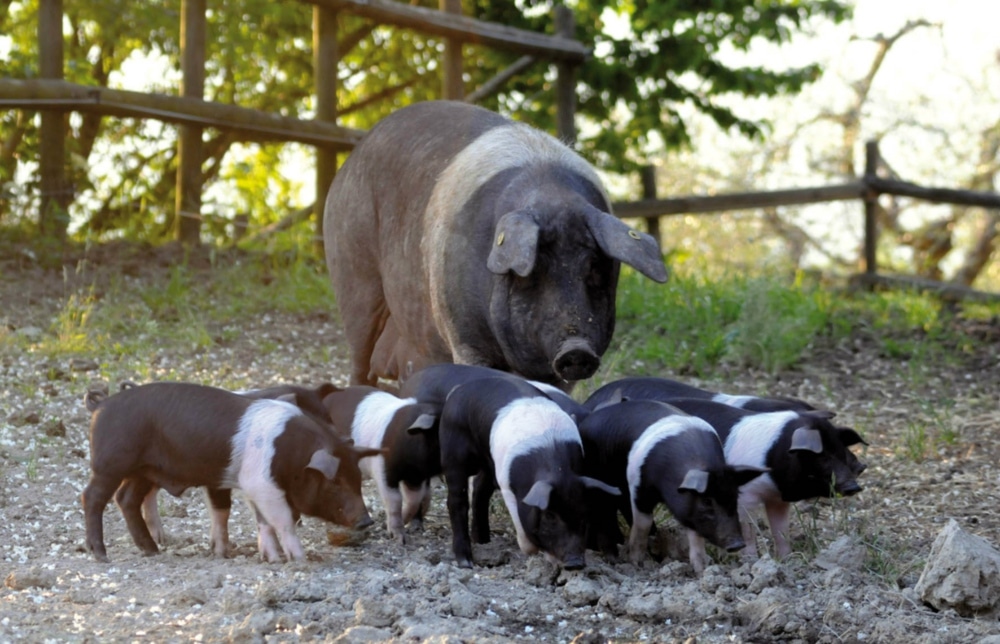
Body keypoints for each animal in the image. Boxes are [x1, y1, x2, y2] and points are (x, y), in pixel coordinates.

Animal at [324, 100, 668, 390]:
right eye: (533, 272)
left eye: (594, 268)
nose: (576, 350)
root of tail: (352, 157)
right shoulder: (463, 336)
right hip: (353, 271)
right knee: (360, 356)